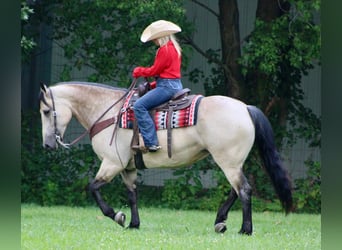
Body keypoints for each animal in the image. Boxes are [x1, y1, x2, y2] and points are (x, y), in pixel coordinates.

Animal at [38, 80, 292, 234]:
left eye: (46, 111)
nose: (48, 145)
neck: (109, 112)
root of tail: (245, 108)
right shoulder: (127, 168)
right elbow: (132, 195)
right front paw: (134, 224)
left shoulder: (112, 163)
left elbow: (92, 188)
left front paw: (117, 216)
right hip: (232, 162)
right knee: (236, 190)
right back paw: (220, 222)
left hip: (228, 162)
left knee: (244, 190)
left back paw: (245, 229)